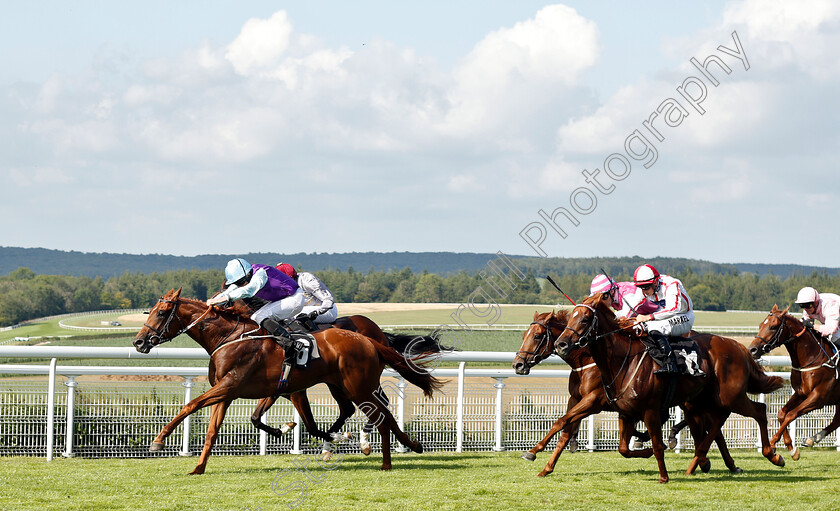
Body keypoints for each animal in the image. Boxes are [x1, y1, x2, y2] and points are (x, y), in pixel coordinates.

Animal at [132, 290, 442, 474]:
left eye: (162, 313)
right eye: (151, 311)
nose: (139, 342)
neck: (230, 337)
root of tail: (370, 339)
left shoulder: (236, 386)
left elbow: (190, 406)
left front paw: (158, 441)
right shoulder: (233, 392)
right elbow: (215, 430)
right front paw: (198, 467)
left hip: (358, 387)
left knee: (381, 415)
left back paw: (385, 459)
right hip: (345, 386)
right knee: (377, 413)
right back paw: (404, 448)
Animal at [556, 296, 784, 484]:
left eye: (585, 319)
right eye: (571, 317)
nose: (561, 344)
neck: (624, 360)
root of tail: (739, 347)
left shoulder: (650, 410)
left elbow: (657, 445)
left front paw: (663, 476)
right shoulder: (626, 412)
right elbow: (623, 449)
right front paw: (647, 450)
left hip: (731, 396)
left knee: (759, 410)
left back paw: (773, 455)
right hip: (705, 400)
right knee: (719, 420)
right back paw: (705, 460)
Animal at [748, 306, 840, 458]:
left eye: (773, 327)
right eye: (761, 325)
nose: (752, 350)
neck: (812, 358)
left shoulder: (818, 397)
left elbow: (791, 415)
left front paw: (774, 443)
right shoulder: (800, 393)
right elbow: (781, 414)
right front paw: (790, 447)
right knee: (837, 419)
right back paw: (812, 438)